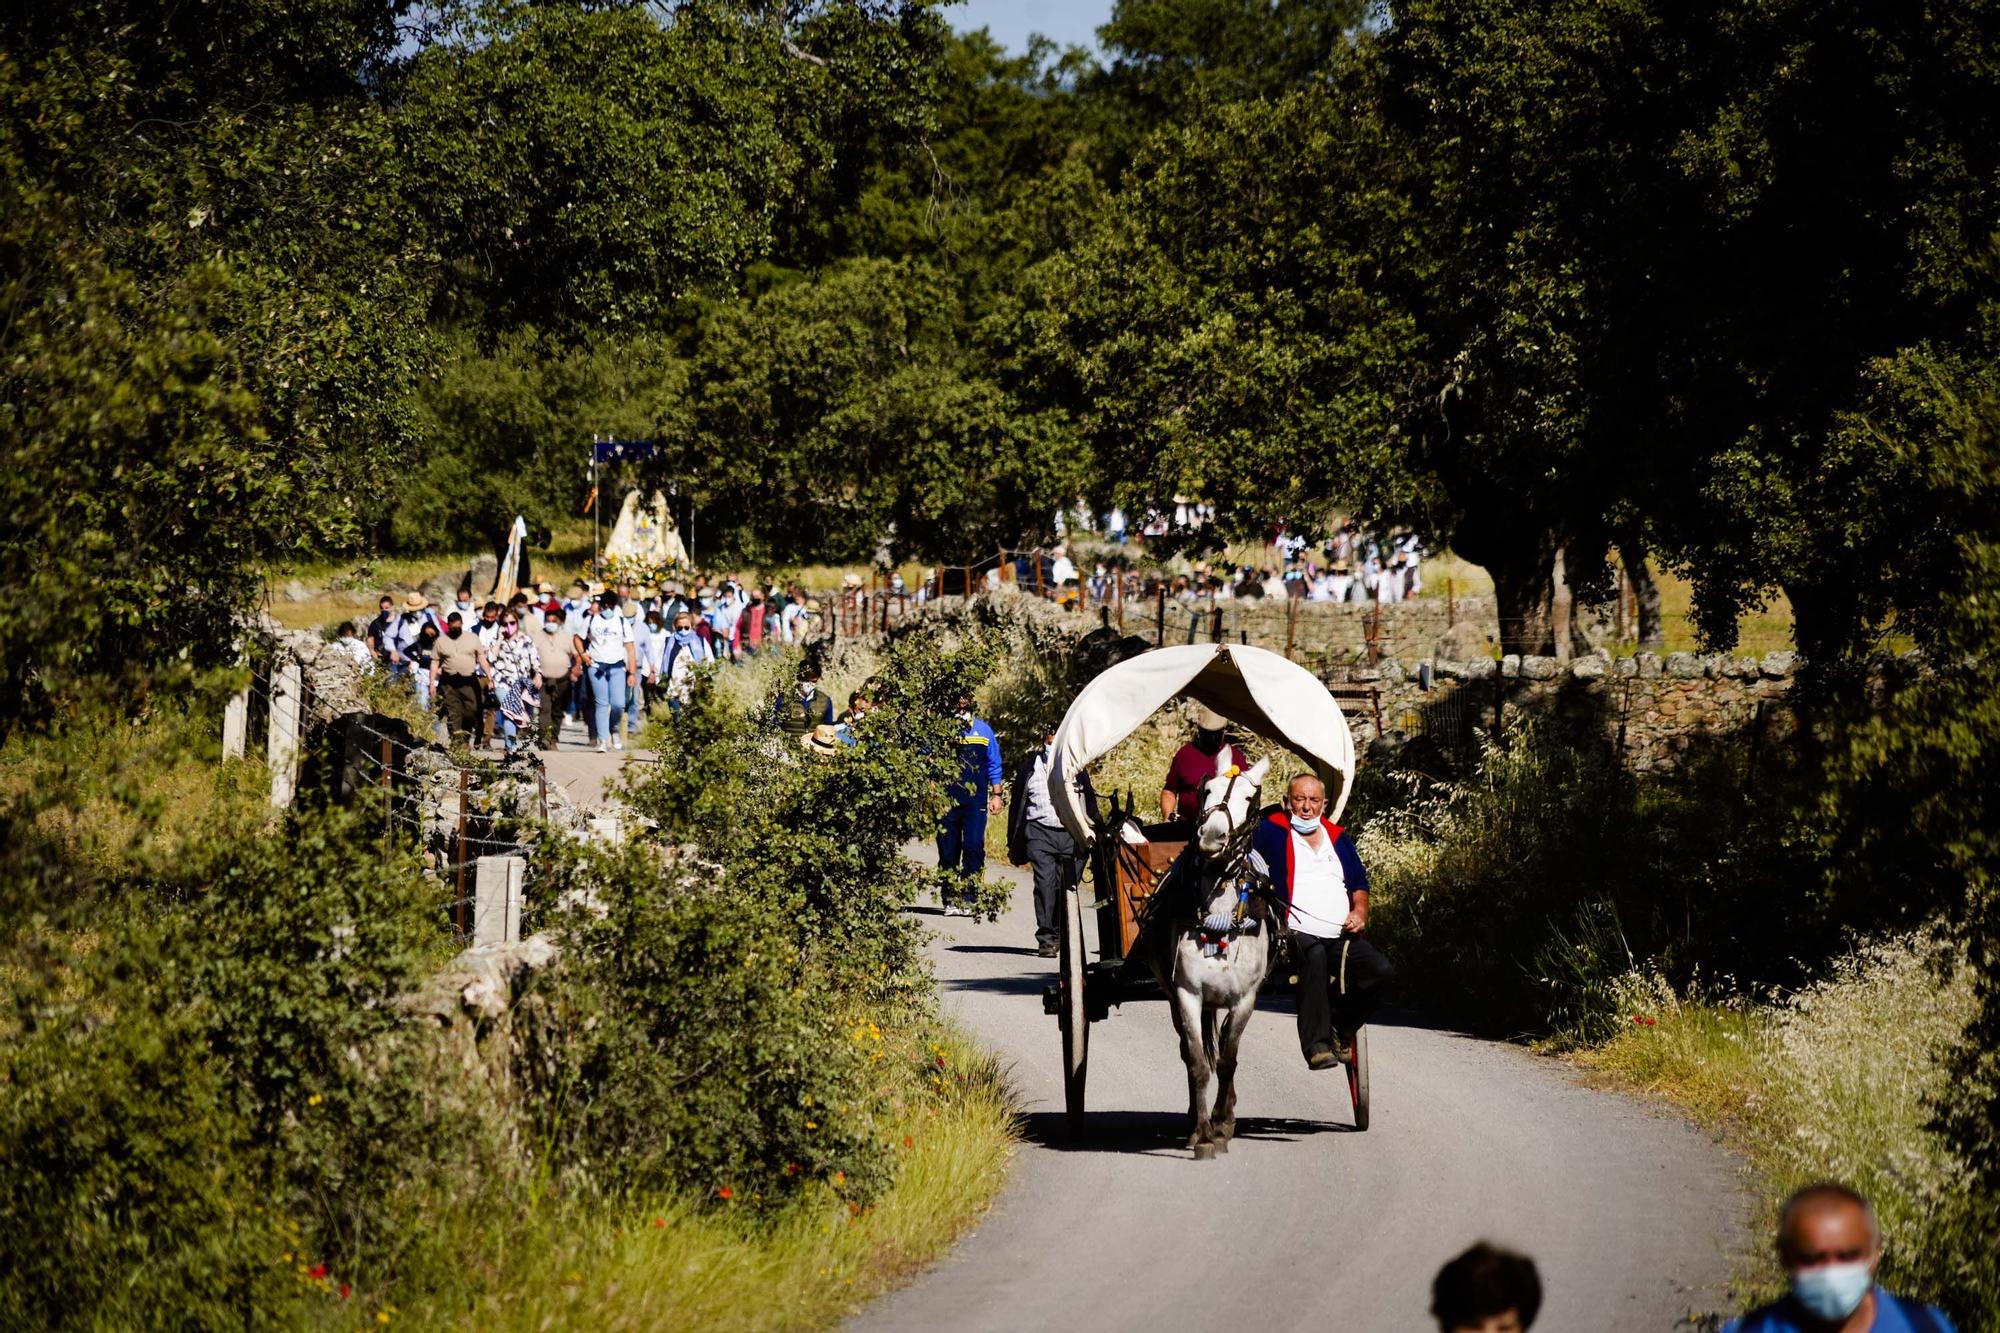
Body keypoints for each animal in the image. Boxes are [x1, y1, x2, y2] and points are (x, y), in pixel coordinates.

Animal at [1144, 752, 1264, 1160]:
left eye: (1249, 798)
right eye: (1206, 789)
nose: (1212, 837)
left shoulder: (1245, 999)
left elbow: (1227, 1059)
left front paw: (1223, 1126)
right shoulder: (1187, 994)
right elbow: (1197, 1061)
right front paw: (1202, 1133)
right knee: (1188, 1050)